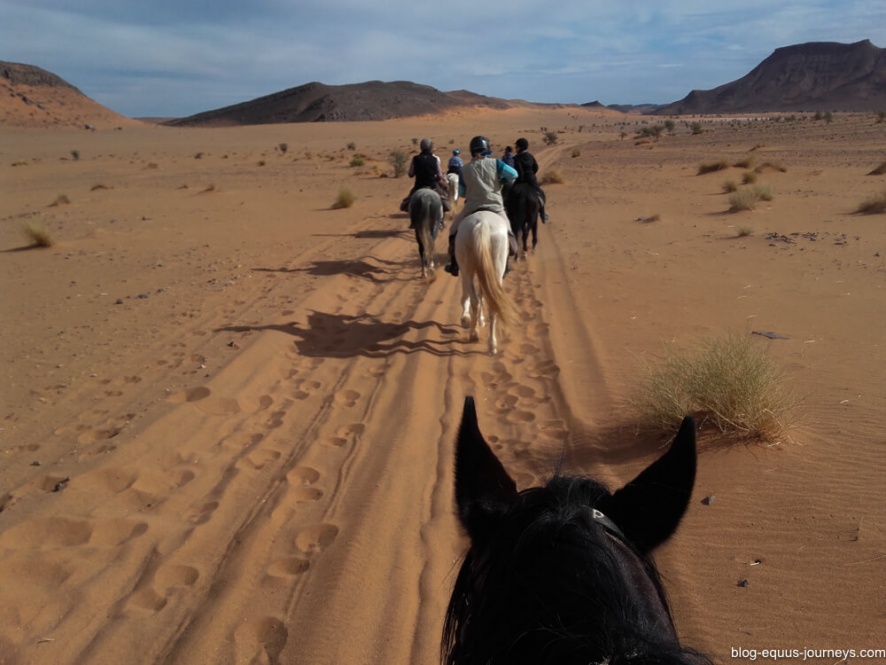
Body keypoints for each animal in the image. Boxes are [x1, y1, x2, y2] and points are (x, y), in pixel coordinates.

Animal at [458, 210, 512, 356]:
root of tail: (482, 223)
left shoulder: (465, 270)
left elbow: (467, 296)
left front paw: (466, 319)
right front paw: (478, 320)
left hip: (467, 268)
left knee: (475, 299)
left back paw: (474, 333)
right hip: (496, 268)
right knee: (491, 303)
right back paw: (492, 344)